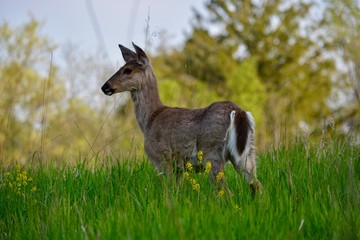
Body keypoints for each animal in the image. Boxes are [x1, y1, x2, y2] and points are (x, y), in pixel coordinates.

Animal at [101, 43, 262, 196]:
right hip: (246, 152)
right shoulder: (180, 168)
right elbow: (176, 191)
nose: (105, 86)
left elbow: (167, 191)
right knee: (256, 184)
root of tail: (237, 111)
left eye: (128, 70)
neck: (150, 119)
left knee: (227, 192)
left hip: (212, 152)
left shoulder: (160, 156)